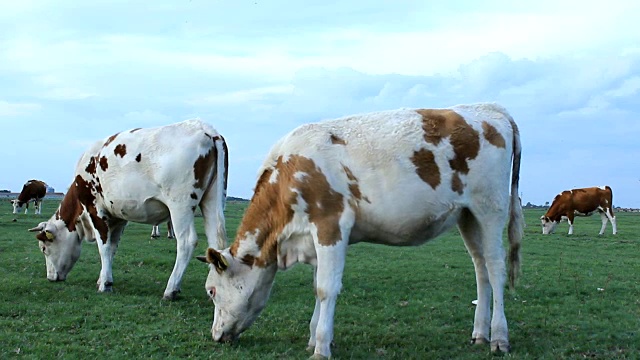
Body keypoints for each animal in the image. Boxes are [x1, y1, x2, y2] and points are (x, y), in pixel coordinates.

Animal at [30, 119, 230, 300]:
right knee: (216, 243)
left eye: (44, 248)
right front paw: (103, 278)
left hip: (180, 204)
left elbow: (103, 247)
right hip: (212, 200)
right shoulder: (118, 216)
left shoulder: (95, 209)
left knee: (187, 242)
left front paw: (105, 284)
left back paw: (171, 289)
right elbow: (112, 247)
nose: (51, 278)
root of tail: (206, 129)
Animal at [198, 102, 524, 358]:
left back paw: (498, 337)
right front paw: (314, 337)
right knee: (481, 269)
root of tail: (491, 109)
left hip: (490, 208)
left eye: (211, 291)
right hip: (467, 216)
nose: (216, 336)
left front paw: (321, 348)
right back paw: (479, 333)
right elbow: (317, 287)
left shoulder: (331, 225)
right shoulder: (314, 238)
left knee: (496, 268)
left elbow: (326, 288)